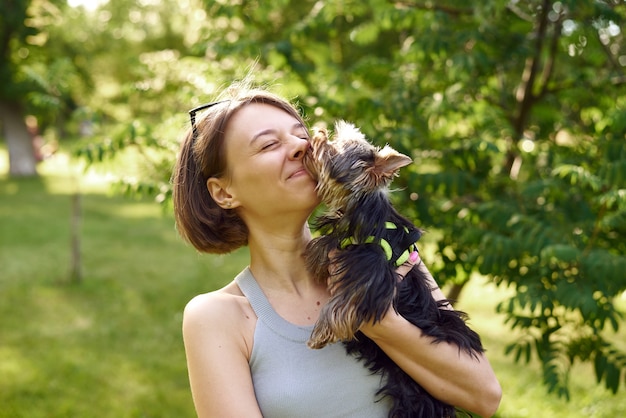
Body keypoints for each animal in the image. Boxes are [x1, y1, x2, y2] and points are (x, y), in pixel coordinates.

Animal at [302, 119, 482, 416]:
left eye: (331, 149)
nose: (316, 133)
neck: (363, 210)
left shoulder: (374, 276)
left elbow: (345, 303)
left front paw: (320, 333)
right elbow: (326, 244)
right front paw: (314, 257)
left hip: (413, 394)